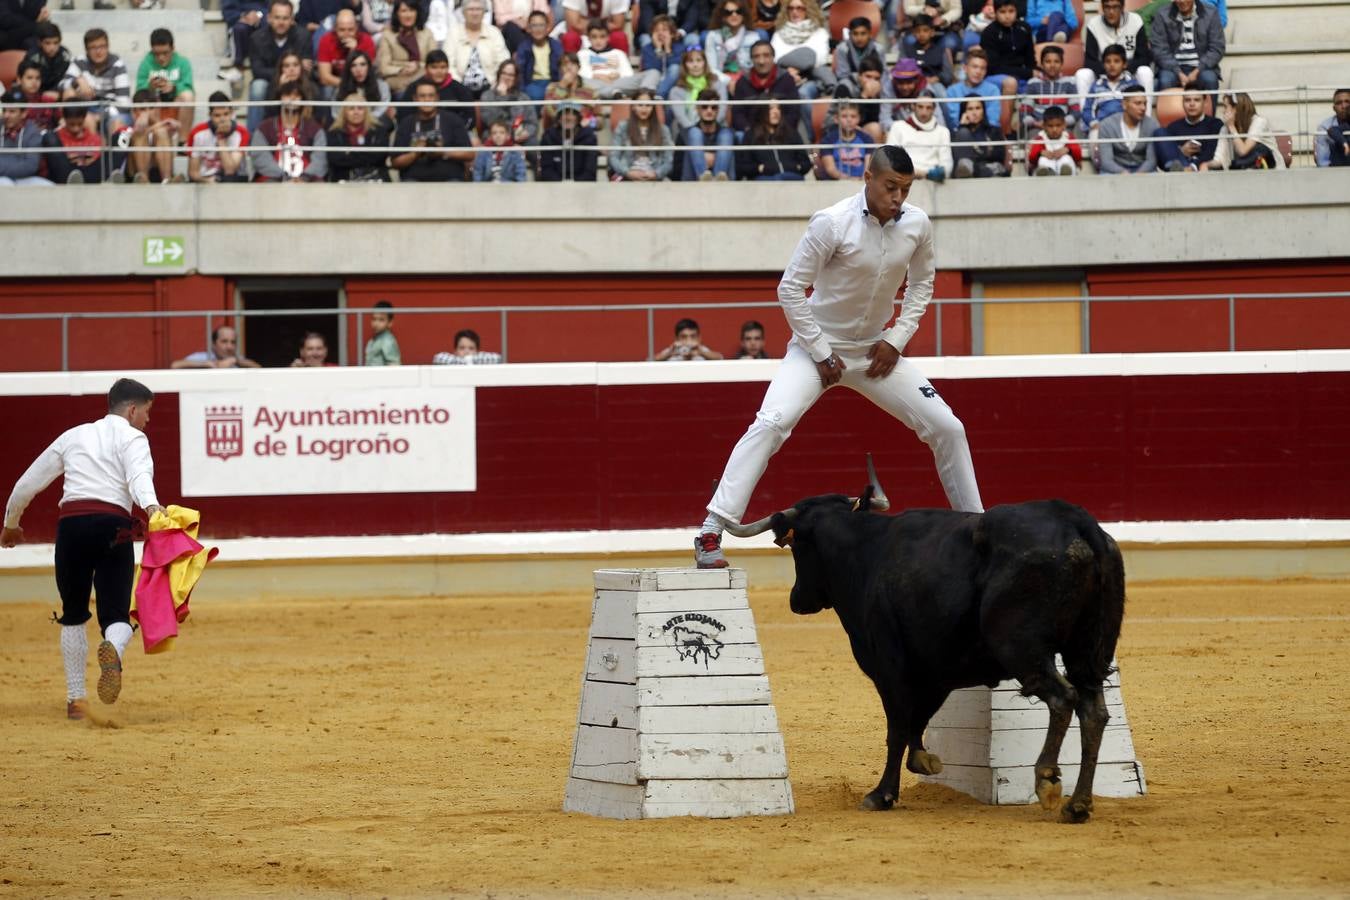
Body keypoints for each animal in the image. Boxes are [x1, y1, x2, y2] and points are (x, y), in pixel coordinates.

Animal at [750, 493, 1117, 825]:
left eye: (797, 548)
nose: (797, 600)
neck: (866, 553)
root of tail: (1075, 519)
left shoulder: (890, 667)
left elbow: (898, 727)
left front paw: (881, 794)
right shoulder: (937, 671)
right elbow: (918, 719)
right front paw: (924, 761)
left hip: (1022, 648)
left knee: (1062, 698)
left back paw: (1047, 781)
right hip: (1086, 653)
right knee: (1093, 711)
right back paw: (1078, 805)